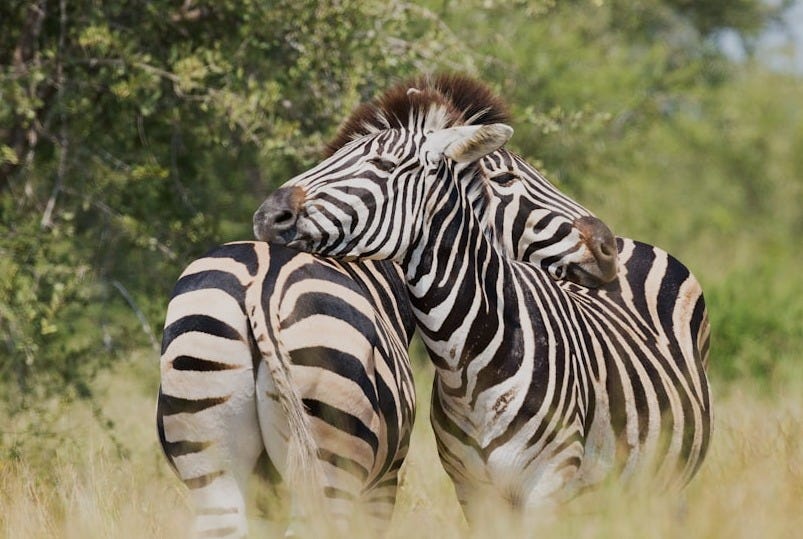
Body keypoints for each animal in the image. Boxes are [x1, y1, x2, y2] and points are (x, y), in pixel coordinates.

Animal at [158, 76, 620, 537]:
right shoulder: (384, 482)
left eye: (381, 163)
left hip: (214, 454)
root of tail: (261, 287)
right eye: (504, 177)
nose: (608, 246)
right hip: (333, 465)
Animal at [253, 74, 712, 522]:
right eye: (506, 178)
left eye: (382, 165)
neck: (471, 364)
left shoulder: (548, 484)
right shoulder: (473, 489)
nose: (606, 248)